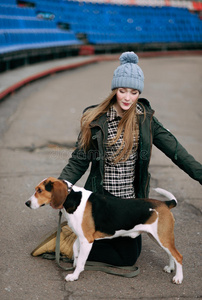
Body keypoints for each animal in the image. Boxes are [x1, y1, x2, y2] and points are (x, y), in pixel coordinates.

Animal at [25, 177, 183, 284]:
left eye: (40, 190)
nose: (27, 203)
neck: (72, 198)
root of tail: (165, 203)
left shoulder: (87, 240)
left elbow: (81, 260)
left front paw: (74, 275)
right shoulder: (81, 238)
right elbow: (75, 251)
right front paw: (74, 263)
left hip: (162, 237)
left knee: (178, 256)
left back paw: (178, 278)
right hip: (157, 237)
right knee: (170, 254)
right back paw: (170, 268)